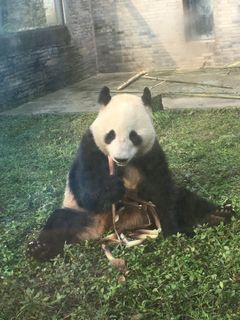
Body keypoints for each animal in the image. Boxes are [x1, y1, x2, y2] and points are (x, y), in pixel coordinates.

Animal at [27, 86, 233, 262]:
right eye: (110, 135)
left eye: (134, 136)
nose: (120, 158)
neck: (123, 166)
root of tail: (112, 227)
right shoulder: (91, 148)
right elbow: (87, 190)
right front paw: (112, 188)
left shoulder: (151, 152)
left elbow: (162, 190)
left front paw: (173, 229)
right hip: (85, 215)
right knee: (60, 221)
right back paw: (40, 249)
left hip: (145, 214)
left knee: (185, 199)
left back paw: (218, 214)